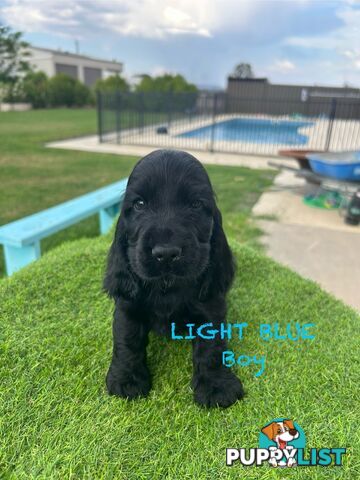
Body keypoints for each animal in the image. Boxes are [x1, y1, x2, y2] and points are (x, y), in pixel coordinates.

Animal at [104, 148, 245, 406]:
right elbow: (127, 340)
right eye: (139, 204)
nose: (166, 253)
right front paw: (126, 379)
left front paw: (216, 385)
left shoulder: (211, 307)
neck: (166, 287)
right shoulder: (128, 305)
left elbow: (211, 348)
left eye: (196, 204)